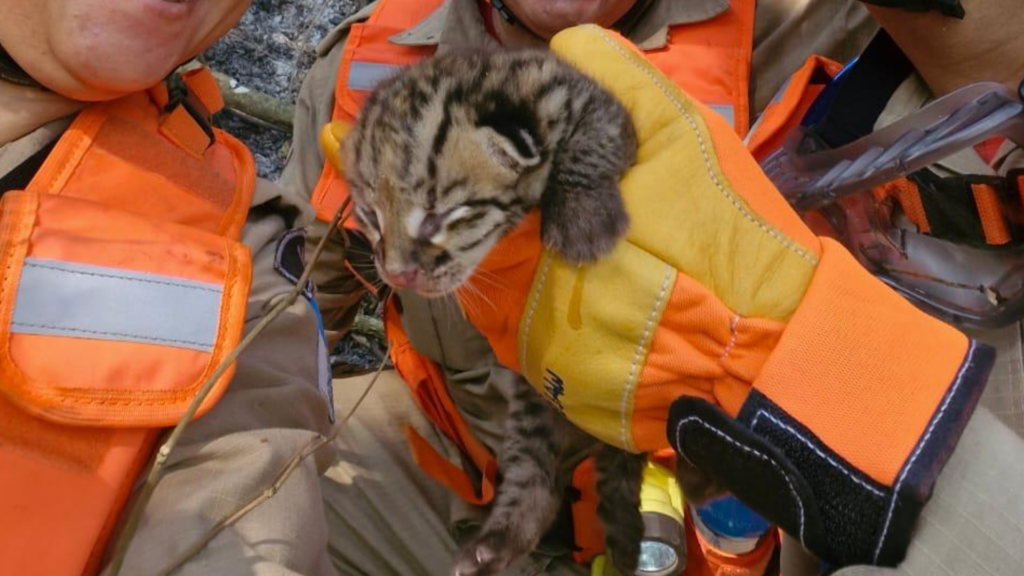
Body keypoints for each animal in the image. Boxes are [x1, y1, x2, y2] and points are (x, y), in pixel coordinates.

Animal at [339, 49, 716, 573]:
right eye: (372, 217)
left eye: (438, 218)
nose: (396, 275)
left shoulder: (603, 110)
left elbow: (589, 144)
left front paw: (582, 219)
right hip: (535, 402)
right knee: (537, 475)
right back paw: (495, 545)